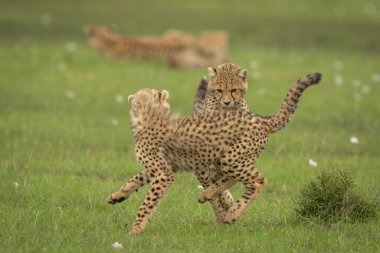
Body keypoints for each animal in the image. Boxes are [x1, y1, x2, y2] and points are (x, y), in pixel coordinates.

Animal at [108, 71, 322, 235]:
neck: (150, 114)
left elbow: (147, 203)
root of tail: (261, 119)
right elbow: (136, 179)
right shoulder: (164, 167)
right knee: (232, 178)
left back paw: (232, 213)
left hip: (231, 157)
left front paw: (135, 230)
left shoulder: (164, 173)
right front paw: (118, 195)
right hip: (224, 157)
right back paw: (209, 194)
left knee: (257, 180)